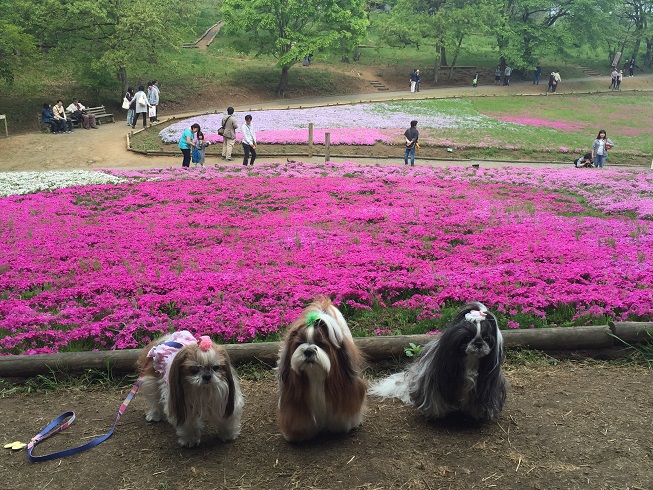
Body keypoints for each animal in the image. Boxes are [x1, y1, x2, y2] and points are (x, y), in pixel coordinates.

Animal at [276, 296, 366, 442]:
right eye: (299, 343)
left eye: (321, 344)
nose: (308, 351)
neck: (315, 374)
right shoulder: (294, 394)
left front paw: (342, 425)